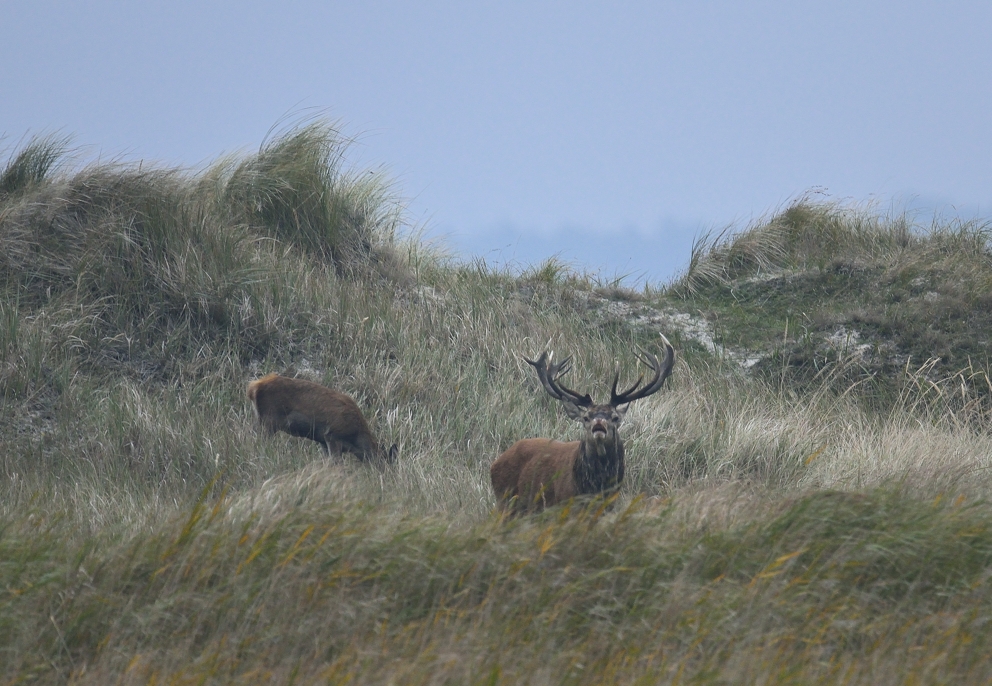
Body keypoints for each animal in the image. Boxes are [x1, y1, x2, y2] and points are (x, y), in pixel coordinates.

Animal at [246, 374, 398, 464]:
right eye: (386, 463)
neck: (354, 438)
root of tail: (253, 387)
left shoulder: (323, 442)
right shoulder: (332, 435)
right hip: (269, 420)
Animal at [492, 336, 680, 512]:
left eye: (614, 417)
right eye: (586, 417)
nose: (599, 423)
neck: (596, 488)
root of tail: (495, 463)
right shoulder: (563, 504)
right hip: (505, 501)